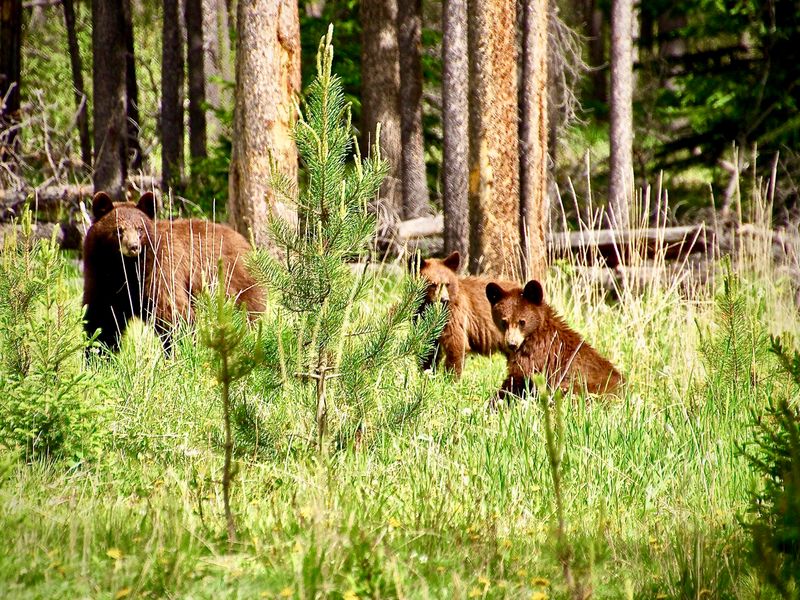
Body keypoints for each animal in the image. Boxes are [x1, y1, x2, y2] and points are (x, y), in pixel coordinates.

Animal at [84, 192, 266, 352]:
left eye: (139, 229)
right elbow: (102, 319)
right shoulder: (101, 277)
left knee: (248, 313)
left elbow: (172, 313)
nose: (133, 247)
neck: (124, 269)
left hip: (235, 282)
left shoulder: (160, 270)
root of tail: (244, 241)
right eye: (118, 230)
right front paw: (96, 354)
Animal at [484, 278, 620, 400]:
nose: (512, 344)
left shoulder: (537, 354)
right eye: (504, 322)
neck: (537, 330)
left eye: (522, 321)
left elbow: (518, 377)